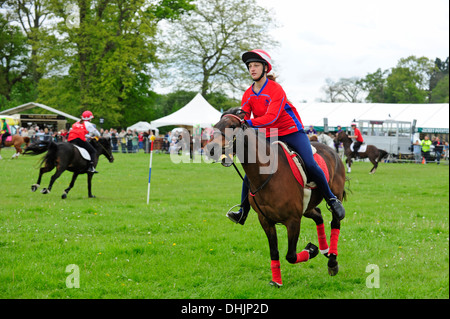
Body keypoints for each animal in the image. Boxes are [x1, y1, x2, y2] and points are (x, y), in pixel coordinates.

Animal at [206, 109, 346, 288]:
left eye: (231, 126)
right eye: (216, 126)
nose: (211, 149)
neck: (268, 174)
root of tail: (332, 150)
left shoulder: (293, 221)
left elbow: (291, 255)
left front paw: (310, 250)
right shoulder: (265, 221)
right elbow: (274, 251)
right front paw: (276, 281)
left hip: (332, 196)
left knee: (335, 222)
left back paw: (332, 260)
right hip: (306, 207)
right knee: (318, 215)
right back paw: (324, 249)